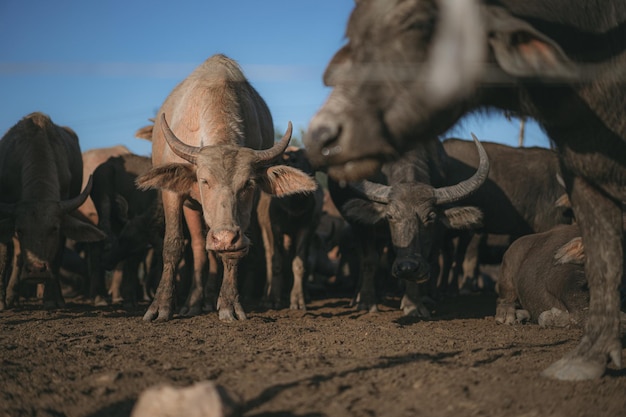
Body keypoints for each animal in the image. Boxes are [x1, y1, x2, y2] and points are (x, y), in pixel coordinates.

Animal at [0, 112, 106, 308]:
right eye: (20, 230)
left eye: (53, 229)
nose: (36, 271)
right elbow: (5, 256)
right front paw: (2, 301)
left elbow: (56, 257)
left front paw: (52, 299)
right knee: (17, 256)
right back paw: (12, 297)